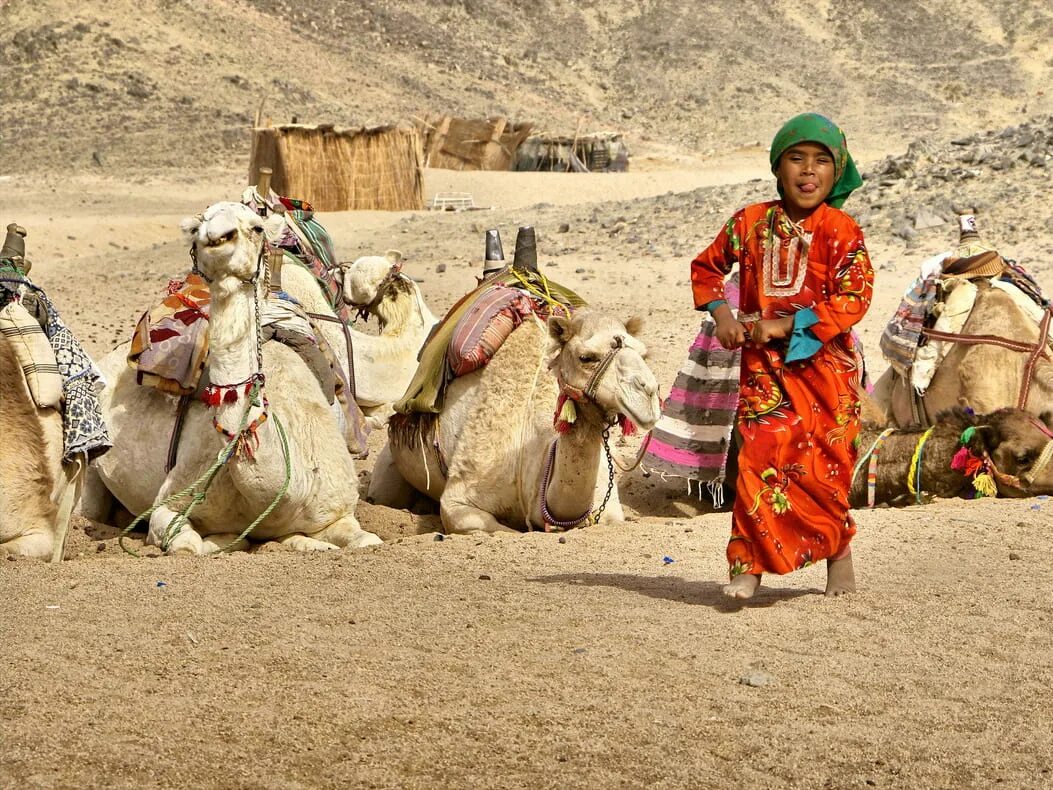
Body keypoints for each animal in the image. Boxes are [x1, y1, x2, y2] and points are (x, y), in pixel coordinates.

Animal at [86, 204, 381, 556]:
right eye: (199, 226)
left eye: (256, 227)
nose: (217, 236)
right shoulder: (168, 503)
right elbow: (188, 545)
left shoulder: (338, 509)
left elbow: (366, 540)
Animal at [368, 307, 657, 532]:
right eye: (586, 357)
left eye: (644, 355)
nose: (650, 391)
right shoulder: (458, 501)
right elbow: (500, 529)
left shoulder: (609, 510)